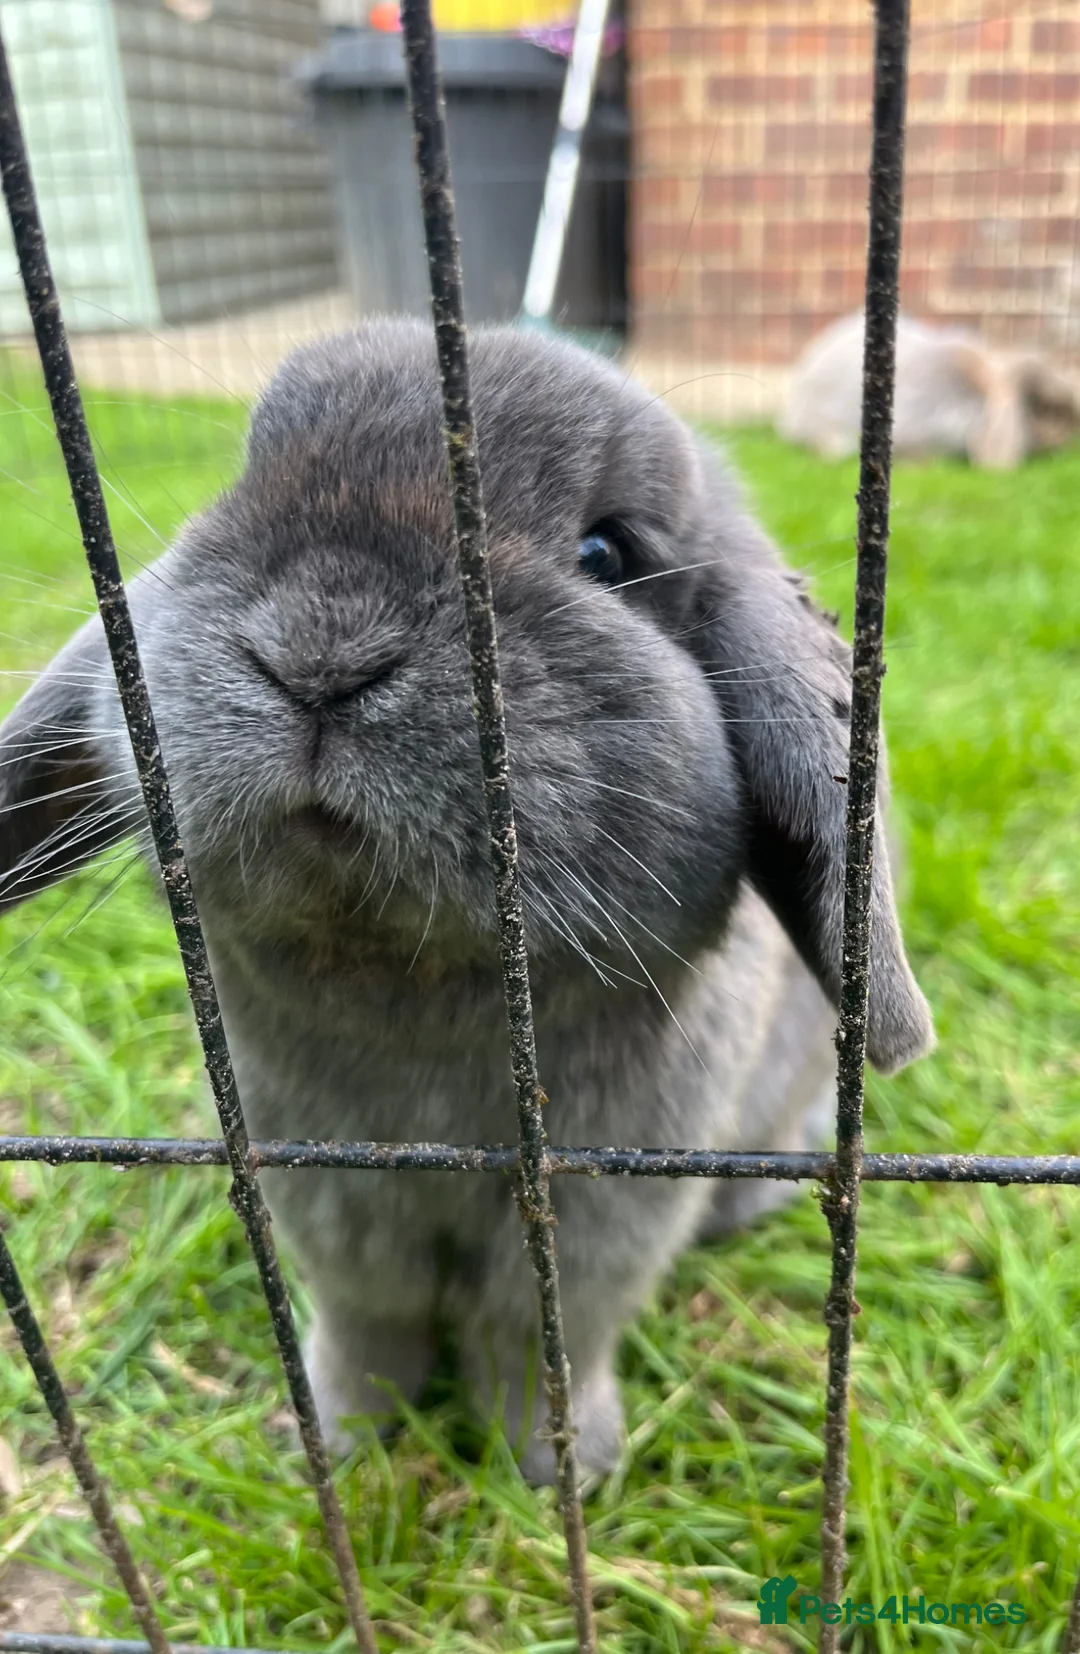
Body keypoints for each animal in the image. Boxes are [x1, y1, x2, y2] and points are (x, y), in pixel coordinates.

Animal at [0, 318, 934, 1483]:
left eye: (606, 555)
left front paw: (560, 1471)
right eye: (242, 482)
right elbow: (368, 1327)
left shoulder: (596, 1215)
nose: (321, 652)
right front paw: (332, 1440)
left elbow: (540, 1341)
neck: (413, 994)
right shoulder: (333, 1201)